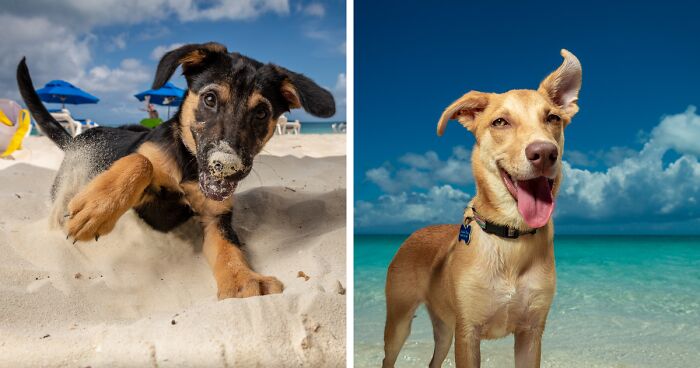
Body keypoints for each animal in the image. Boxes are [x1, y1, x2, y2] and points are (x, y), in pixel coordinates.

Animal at [15, 41, 334, 300]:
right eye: (209, 99)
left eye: (262, 113)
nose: (226, 166)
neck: (189, 169)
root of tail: (74, 140)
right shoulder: (145, 185)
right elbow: (141, 161)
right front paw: (97, 209)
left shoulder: (216, 218)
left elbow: (229, 250)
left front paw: (243, 280)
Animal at [380, 49, 584, 368]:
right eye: (500, 122)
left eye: (552, 118)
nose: (544, 153)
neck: (511, 236)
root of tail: (416, 233)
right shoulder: (468, 332)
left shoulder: (531, 333)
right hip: (399, 322)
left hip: (444, 326)